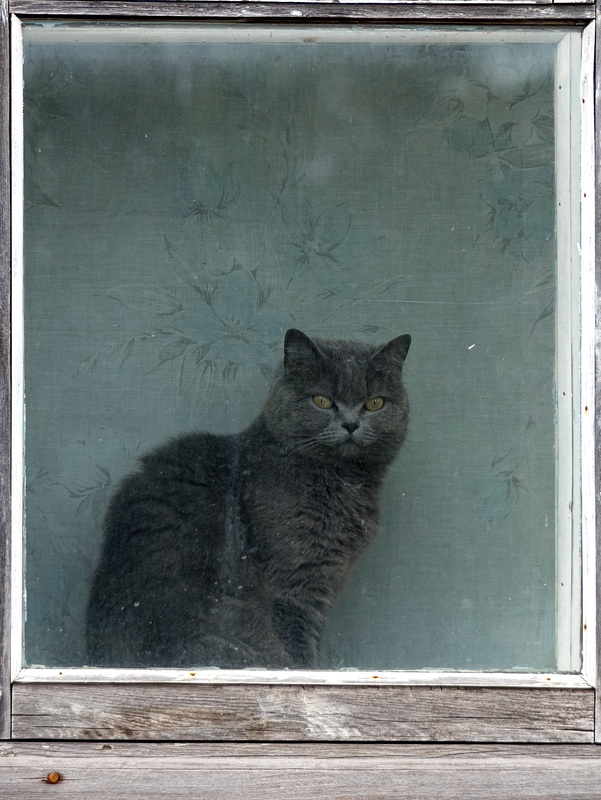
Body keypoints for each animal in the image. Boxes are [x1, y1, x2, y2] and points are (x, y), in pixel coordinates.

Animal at [85, 326, 408, 668]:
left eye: (374, 403)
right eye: (321, 400)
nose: (350, 424)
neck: (343, 481)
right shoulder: (295, 577)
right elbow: (299, 639)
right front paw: (307, 670)